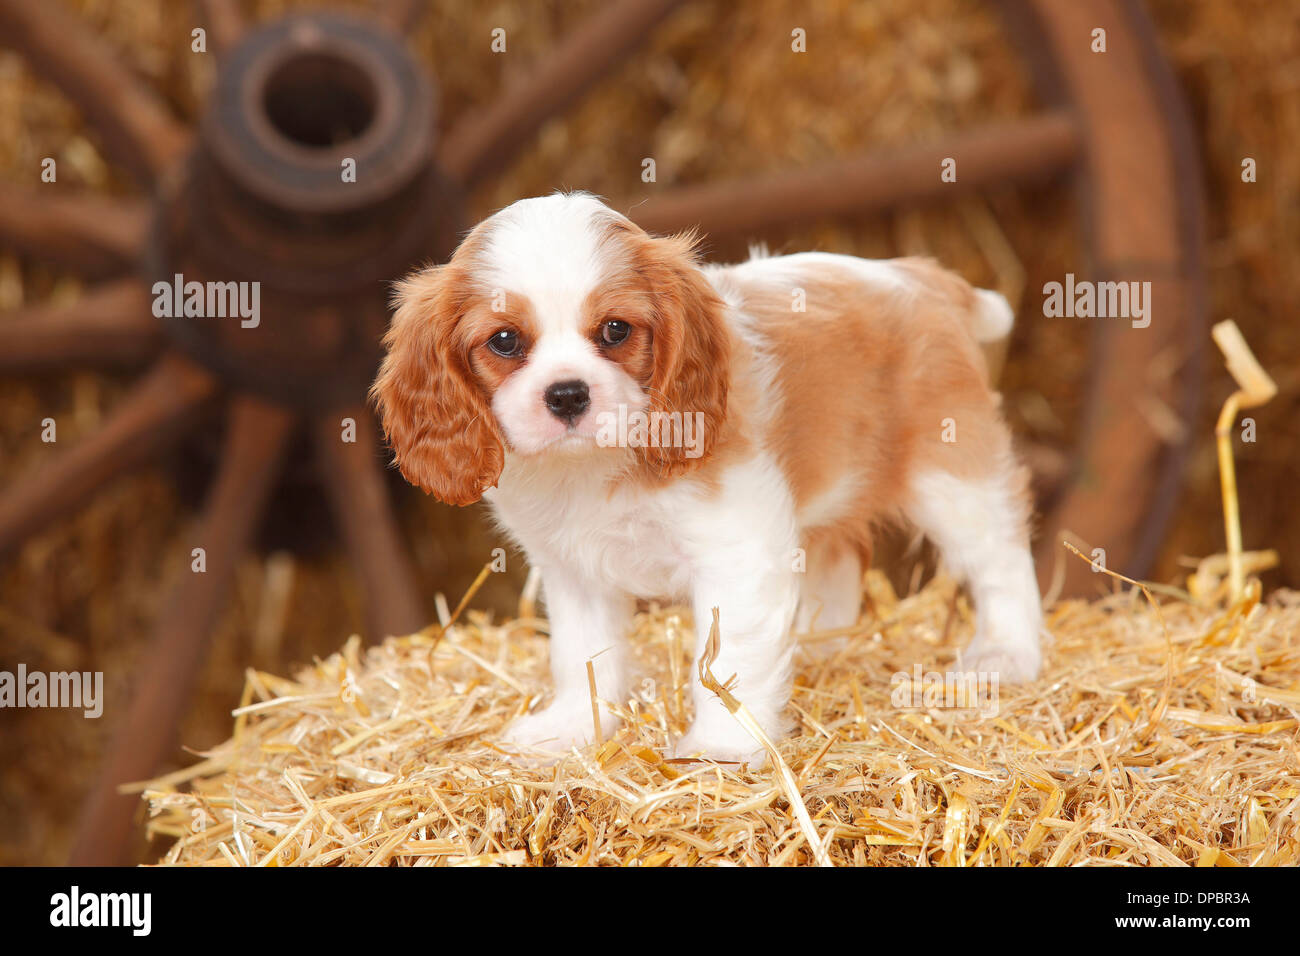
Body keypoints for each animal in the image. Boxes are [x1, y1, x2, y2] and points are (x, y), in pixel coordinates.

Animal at [371, 191, 1040, 764]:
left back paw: (1007, 655)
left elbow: (727, 662)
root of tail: (923, 276)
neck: (594, 466)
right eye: (505, 341)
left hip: (950, 475)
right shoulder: (574, 571)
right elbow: (582, 656)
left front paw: (721, 747)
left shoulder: (738, 551)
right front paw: (571, 731)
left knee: (1000, 559)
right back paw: (823, 647)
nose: (566, 394)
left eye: (615, 330)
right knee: (839, 564)